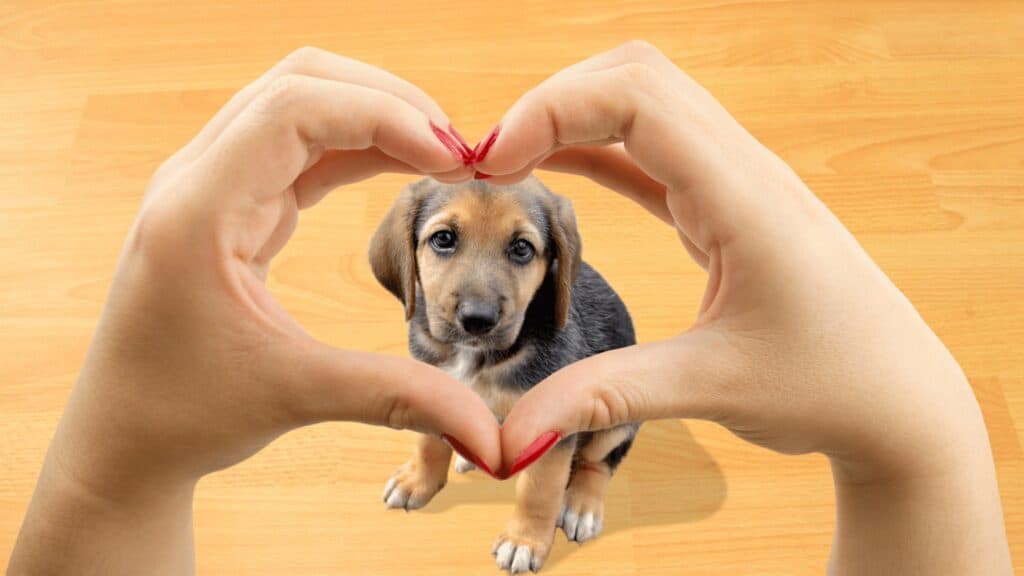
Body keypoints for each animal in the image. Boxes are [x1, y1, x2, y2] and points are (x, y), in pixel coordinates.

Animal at [368, 177, 638, 569]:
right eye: (443, 239)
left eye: (522, 248)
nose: (477, 320)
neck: (476, 357)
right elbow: (428, 444)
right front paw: (417, 481)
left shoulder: (549, 425)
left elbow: (538, 490)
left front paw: (524, 540)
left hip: (615, 419)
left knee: (597, 462)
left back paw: (581, 507)